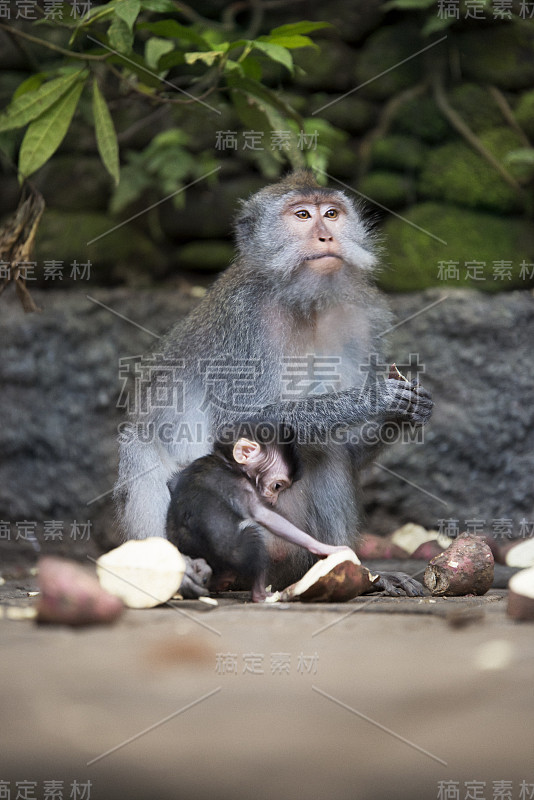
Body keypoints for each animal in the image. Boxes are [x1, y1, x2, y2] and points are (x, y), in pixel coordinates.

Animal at [168, 418, 352, 600]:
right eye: (277, 486)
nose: (273, 500)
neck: (226, 462)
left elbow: (172, 483)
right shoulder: (241, 485)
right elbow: (265, 516)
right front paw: (323, 548)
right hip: (234, 553)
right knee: (253, 536)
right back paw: (259, 594)